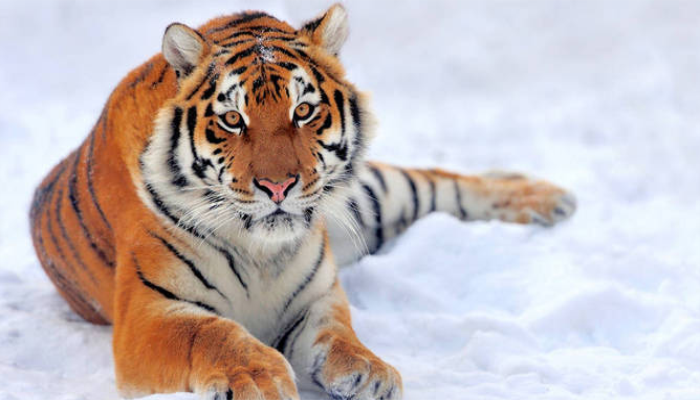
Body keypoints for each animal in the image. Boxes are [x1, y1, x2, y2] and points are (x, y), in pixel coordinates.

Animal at [29, 4, 576, 400]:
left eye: (304, 111)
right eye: (233, 120)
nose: (277, 186)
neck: (259, 251)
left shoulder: (316, 297)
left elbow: (340, 336)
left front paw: (369, 371)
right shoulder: (149, 314)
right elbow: (213, 334)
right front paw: (261, 378)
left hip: (371, 197)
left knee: (443, 180)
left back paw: (548, 198)